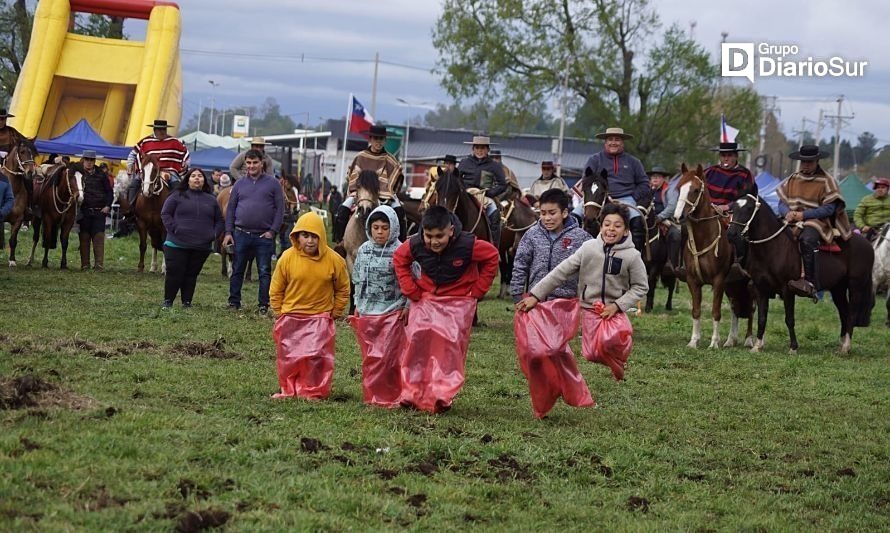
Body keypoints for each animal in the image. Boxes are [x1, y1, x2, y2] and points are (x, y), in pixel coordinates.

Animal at [1, 135, 38, 264]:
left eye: (33, 153)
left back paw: (30, 261)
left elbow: (13, 240)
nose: (30, 172)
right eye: (22, 152)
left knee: (36, 239)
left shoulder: (18, 220)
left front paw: (12, 260)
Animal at [672, 164, 748, 348]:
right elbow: (696, 311)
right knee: (736, 307)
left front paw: (714, 342)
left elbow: (715, 311)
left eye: (695, 190)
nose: (678, 217)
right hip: (732, 285)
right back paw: (730, 340)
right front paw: (694, 341)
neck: (703, 238)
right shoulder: (693, 281)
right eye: (678, 188)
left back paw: (749, 340)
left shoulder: (718, 280)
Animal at [728, 193, 876, 352]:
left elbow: (789, 319)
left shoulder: (787, 290)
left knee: (852, 313)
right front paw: (757, 345)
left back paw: (846, 346)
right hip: (838, 289)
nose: (731, 234)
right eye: (733, 208)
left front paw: (793, 347)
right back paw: (842, 345)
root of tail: (867, 244)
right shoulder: (761, 289)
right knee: (844, 312)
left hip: (856, 285)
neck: (774, 247)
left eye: (749, 208)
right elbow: (762, 318)